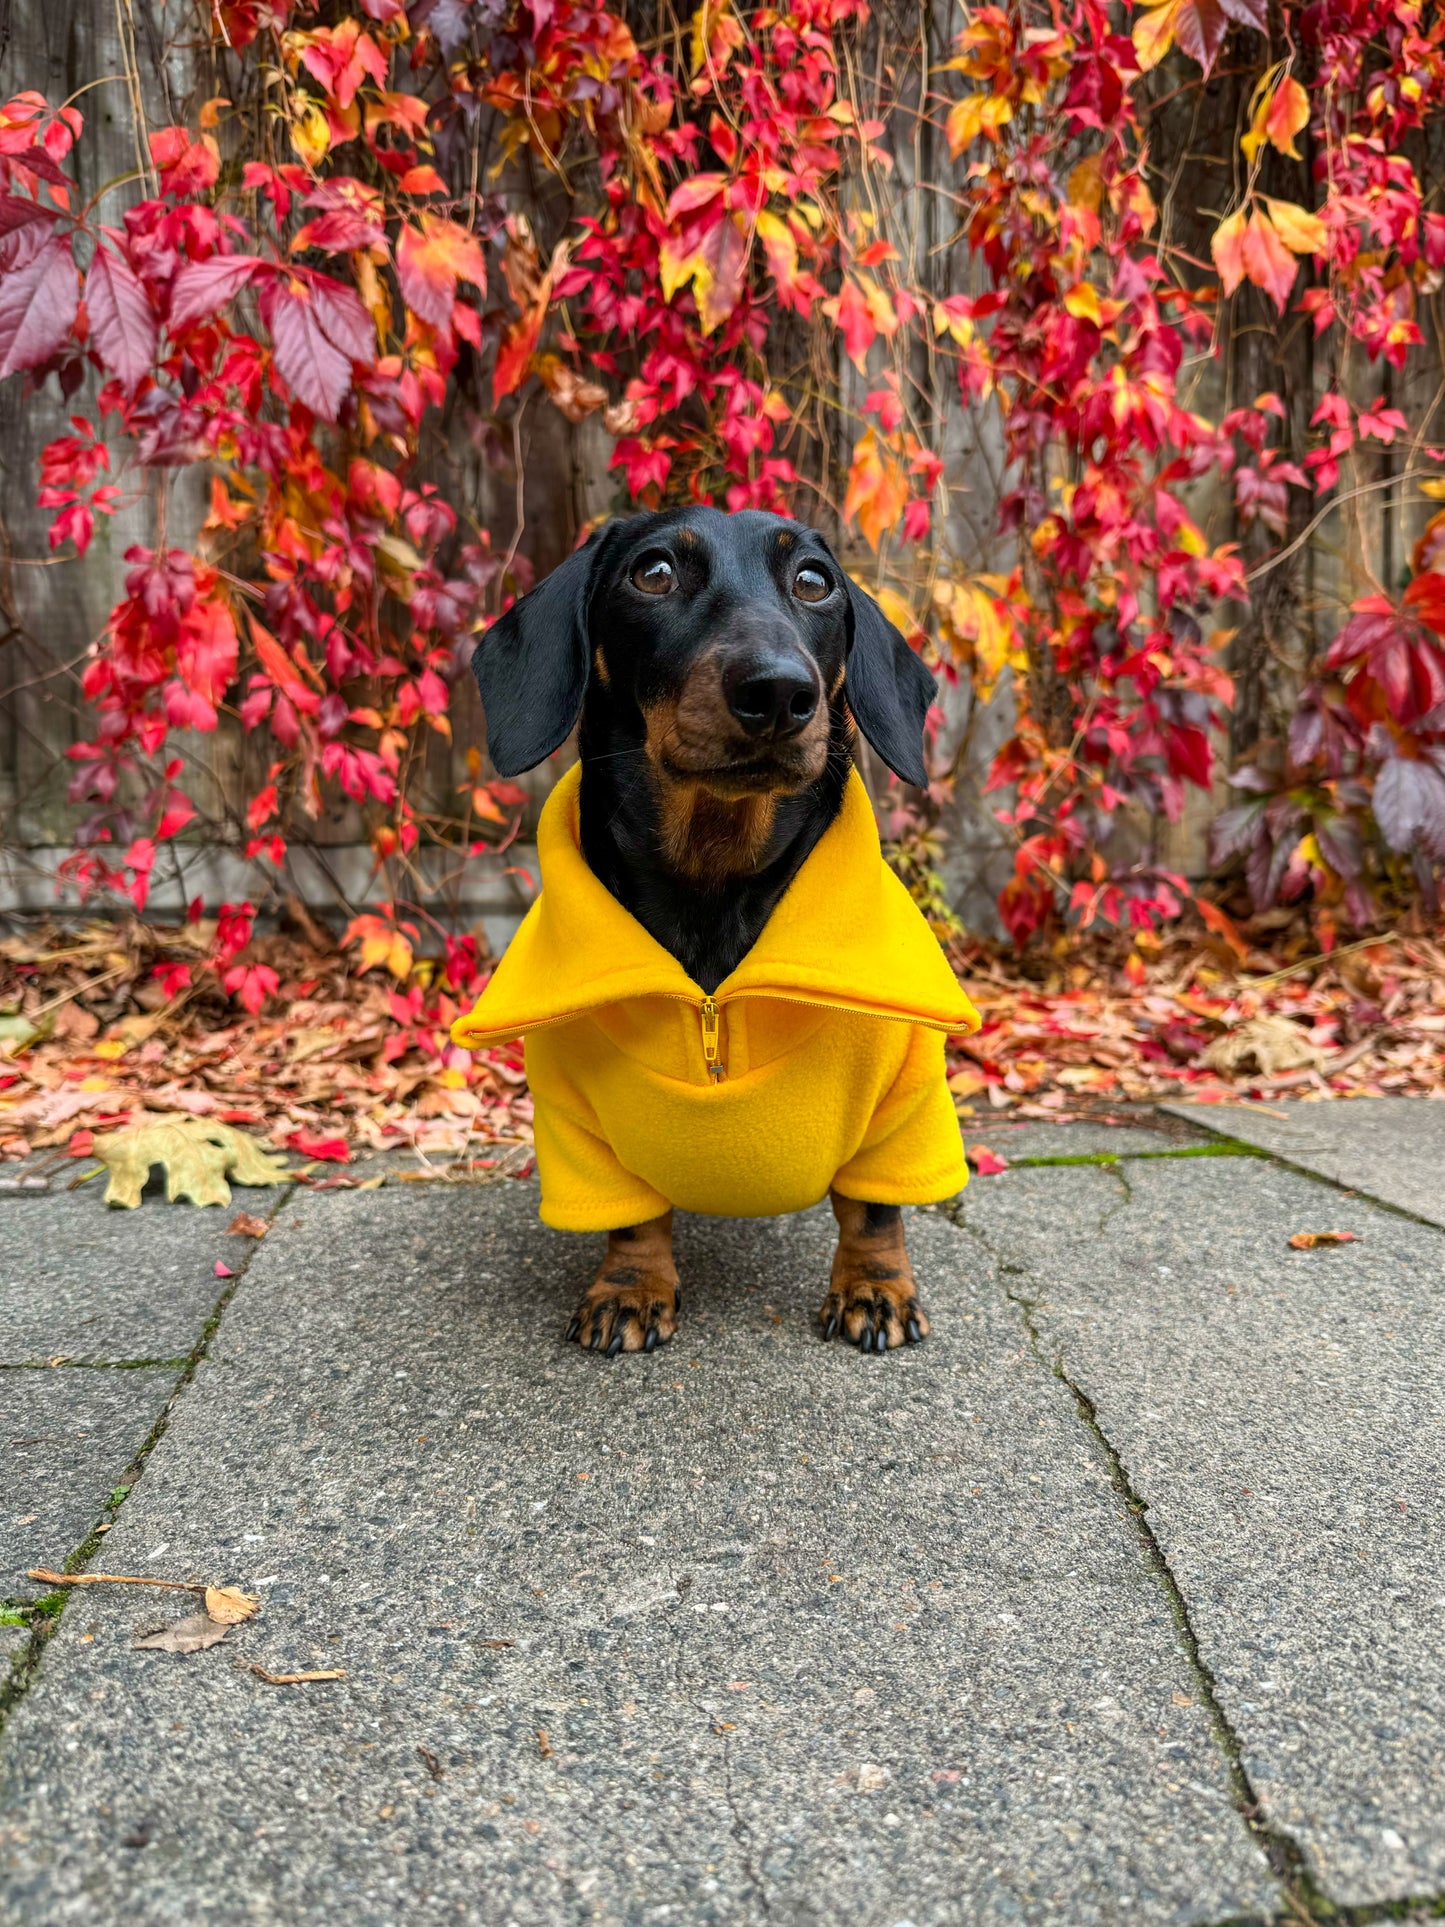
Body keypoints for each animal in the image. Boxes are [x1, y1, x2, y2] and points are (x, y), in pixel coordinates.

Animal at [452, 512, 986, 1356]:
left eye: (813, 581)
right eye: (653, 572)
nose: (777, 692)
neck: (714, 878)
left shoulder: (902, 1099)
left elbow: (873, 1208)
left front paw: (874, 1286)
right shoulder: (575, 1122)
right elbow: (632, 1222)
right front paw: (629, 1289)